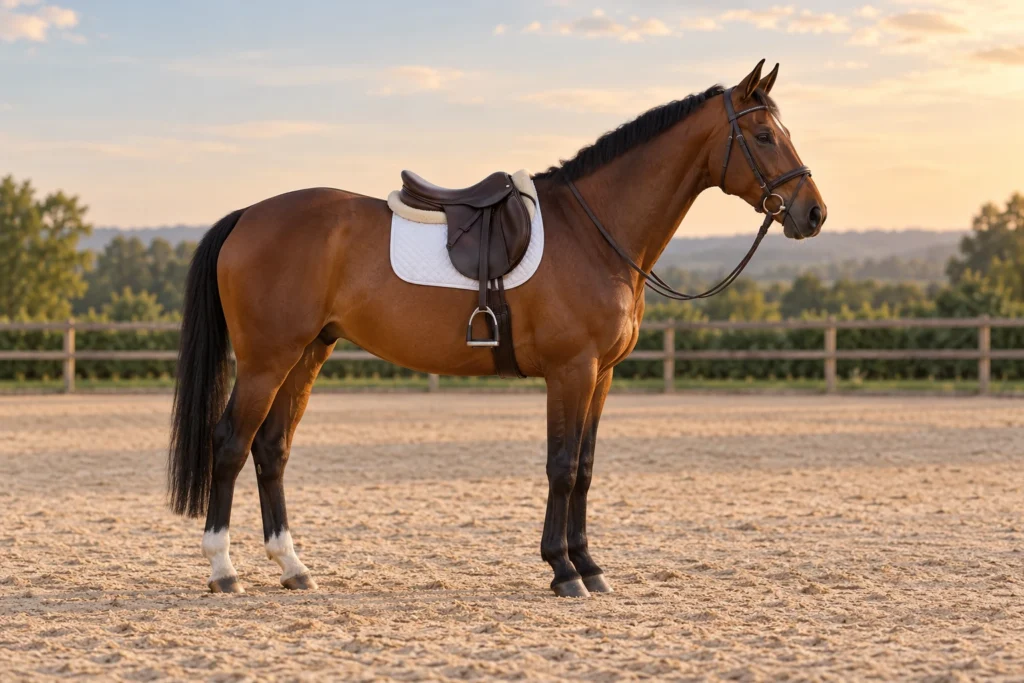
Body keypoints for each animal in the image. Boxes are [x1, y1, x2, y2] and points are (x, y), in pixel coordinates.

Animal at [168, 60, 827, 598]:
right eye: (763, 136)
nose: (814, 213)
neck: (593, 231)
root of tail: (247, 216)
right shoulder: (571, 371)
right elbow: (562, 466)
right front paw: (563, 571)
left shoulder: (601, 376)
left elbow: (585, 468)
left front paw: (590, 567)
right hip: (266, 360)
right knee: (230, 444)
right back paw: (223, 570)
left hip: (307, 354)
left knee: (271, 449)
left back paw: (292, 567)